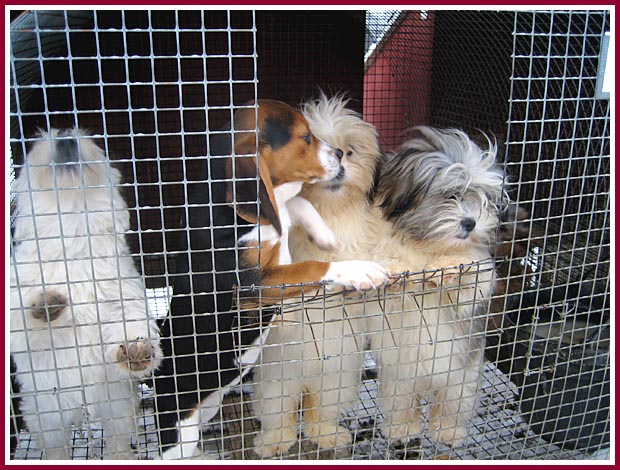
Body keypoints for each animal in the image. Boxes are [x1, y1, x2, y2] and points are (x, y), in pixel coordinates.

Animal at [10, 129, 161, 458]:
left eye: (87, 140)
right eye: (42, 140)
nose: (66, 140)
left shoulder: (122, 294)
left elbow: (129, 319)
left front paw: (136, 348)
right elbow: (27, 319)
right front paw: (47, 303)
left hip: (117, 406)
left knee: (117, 438)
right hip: (45, 415)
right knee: (55, 446)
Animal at [153, 100, 388, 458]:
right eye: (306, 137)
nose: (339, 152)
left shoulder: (278, 219)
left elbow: (296, 203)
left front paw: (325, 236)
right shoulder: (255, 286)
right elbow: (310, 267)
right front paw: (358, 269)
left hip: (208, 405)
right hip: (181, 427)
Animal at [249, 92, 506, 456]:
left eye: (347, 151)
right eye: (450, 196)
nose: (470, 223)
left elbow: (469, 282)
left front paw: (449, 269)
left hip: (447, 379)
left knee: (447, 406)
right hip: (282, 379)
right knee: (280, 411)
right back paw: (280, 441)